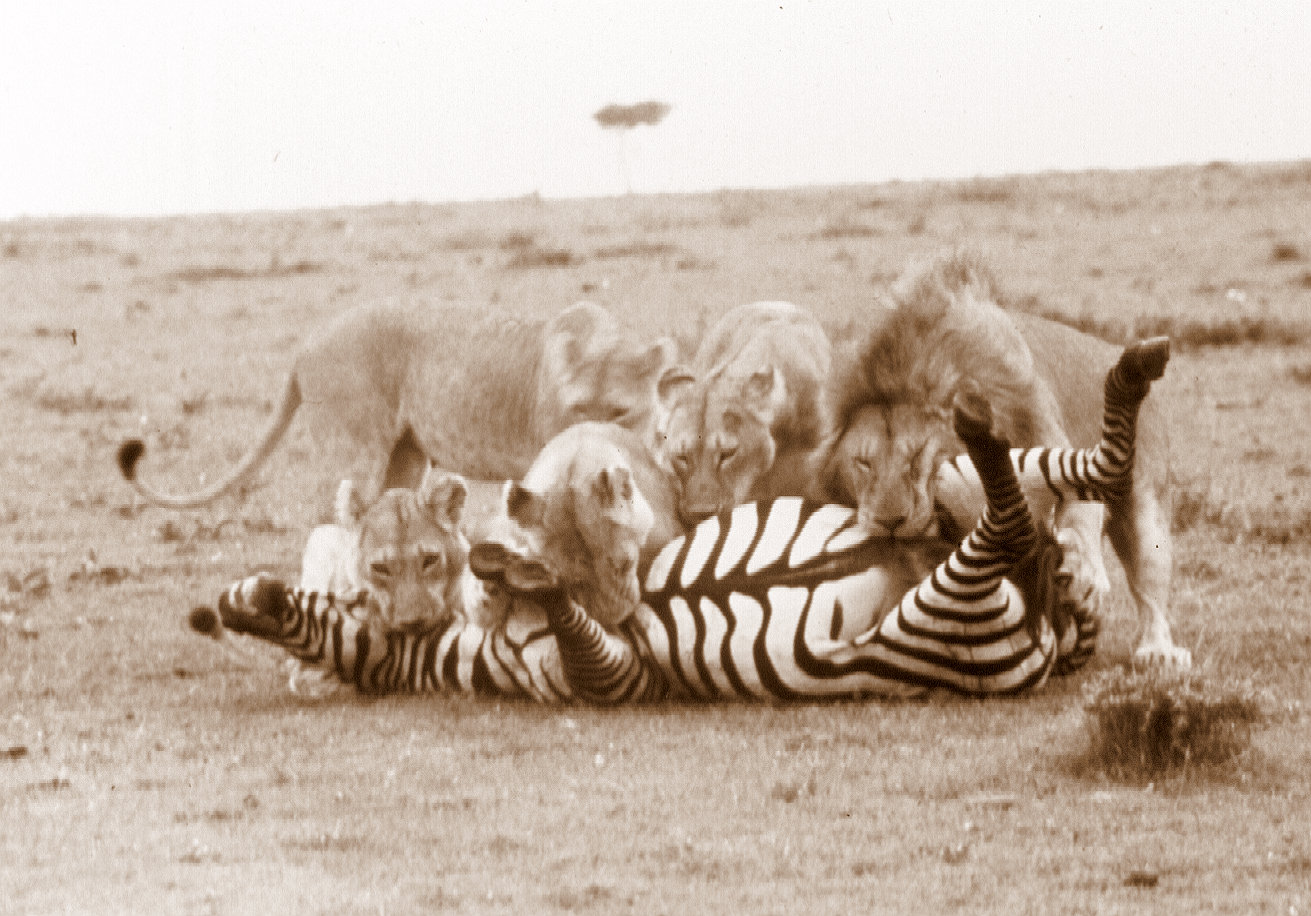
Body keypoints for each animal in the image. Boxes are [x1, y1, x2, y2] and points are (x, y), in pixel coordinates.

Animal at [117, 300, 676, 509]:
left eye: (619, 411)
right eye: (578, 409)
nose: (594, 438)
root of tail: (305, 344)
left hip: (405, 456)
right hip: (358, 448)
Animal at [193, 337, 1168, 704]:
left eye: (425, 563)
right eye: (386, 573)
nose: (231, 602)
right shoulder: (607, 667)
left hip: (974, 522)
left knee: (1047, 490)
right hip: (967, 590)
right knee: (1020, 520)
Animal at [817, 252, 1187, 668]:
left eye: (916, 457)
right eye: (863, 464)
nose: (889, 522)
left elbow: (1080, 520)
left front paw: (1084, 576)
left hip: (1148, 511)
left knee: (1150, 588)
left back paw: (1158, 652)